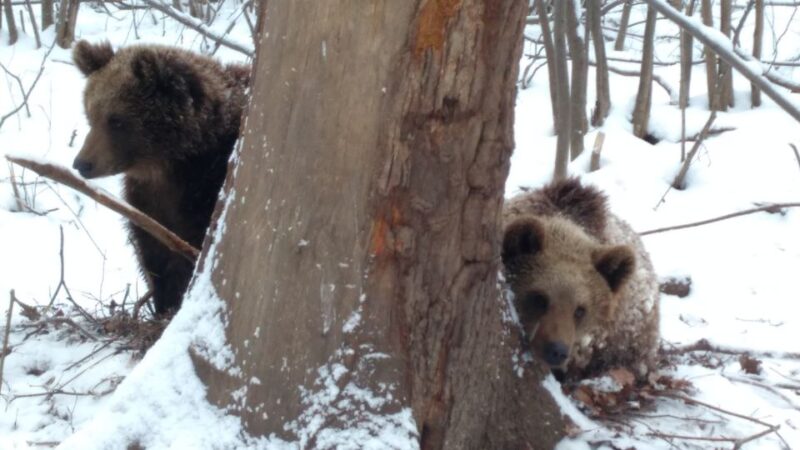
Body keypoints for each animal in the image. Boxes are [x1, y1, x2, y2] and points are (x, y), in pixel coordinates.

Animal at [71, 40, 250, 315]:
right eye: (90, 115)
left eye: (116, 120)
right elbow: (155, 256)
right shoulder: (148, 202)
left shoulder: (206, 187)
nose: (82, 163)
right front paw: (165, 305)